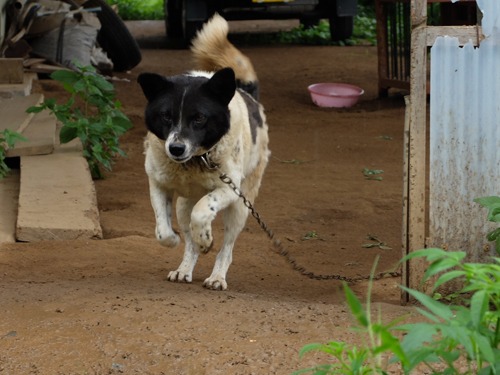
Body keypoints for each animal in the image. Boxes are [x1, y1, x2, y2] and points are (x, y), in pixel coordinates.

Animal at [137, 13, 270, 290]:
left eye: (199, 118)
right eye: (166, 116)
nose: (176, 149)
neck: (195, 161)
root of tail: (246, 91)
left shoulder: (229, 188)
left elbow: (203, 212)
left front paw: (206, 238)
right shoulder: (158, 184)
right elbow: (163, 231)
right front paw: (175, 240)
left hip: (241, 207)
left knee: (226, 247)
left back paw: (217, 276)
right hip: (182, 205)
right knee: (190, 239)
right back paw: (184, 268)